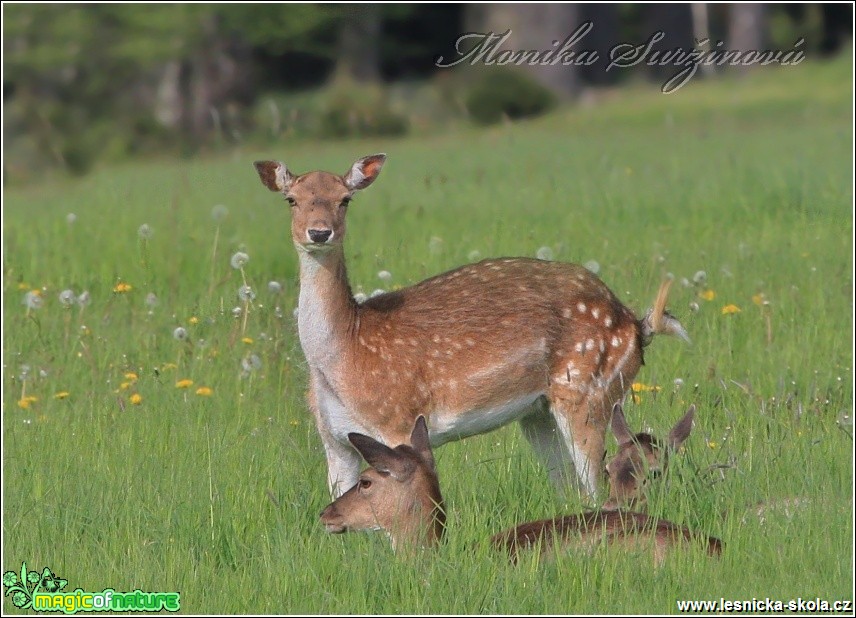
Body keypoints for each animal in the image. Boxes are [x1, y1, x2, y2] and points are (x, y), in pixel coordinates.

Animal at [252, 154, 688, 500]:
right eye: (291, 199)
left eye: (345, 199)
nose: (319, 231)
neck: (346, 351)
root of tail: (637, 326)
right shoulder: (332, 439)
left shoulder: (399, 421)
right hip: (539, 413)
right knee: (570, 487)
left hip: (588, 391)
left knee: (595, 483)